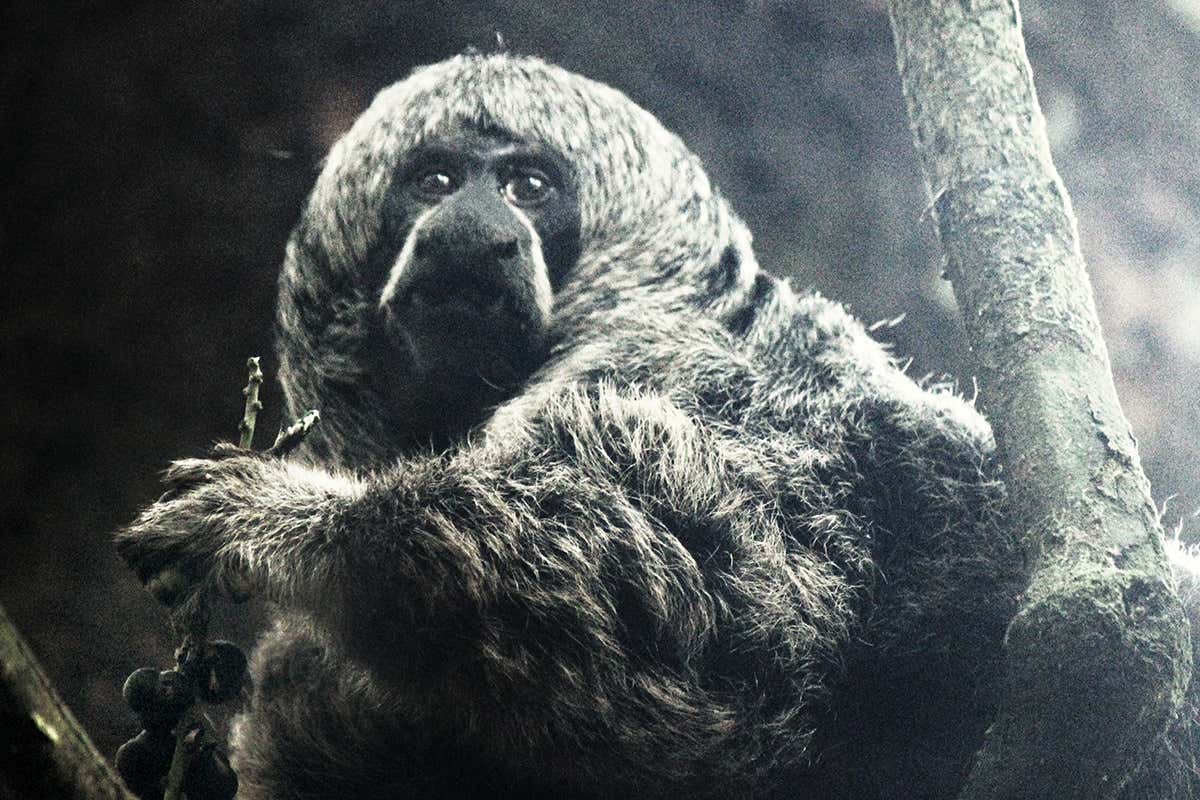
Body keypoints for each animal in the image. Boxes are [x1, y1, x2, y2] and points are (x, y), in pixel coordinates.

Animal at [117, 53, 1200, 799]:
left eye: (528, 186)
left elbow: (682, 602)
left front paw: (289, 521)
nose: (471, 227)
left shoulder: (703, 371)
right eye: (435, 182)